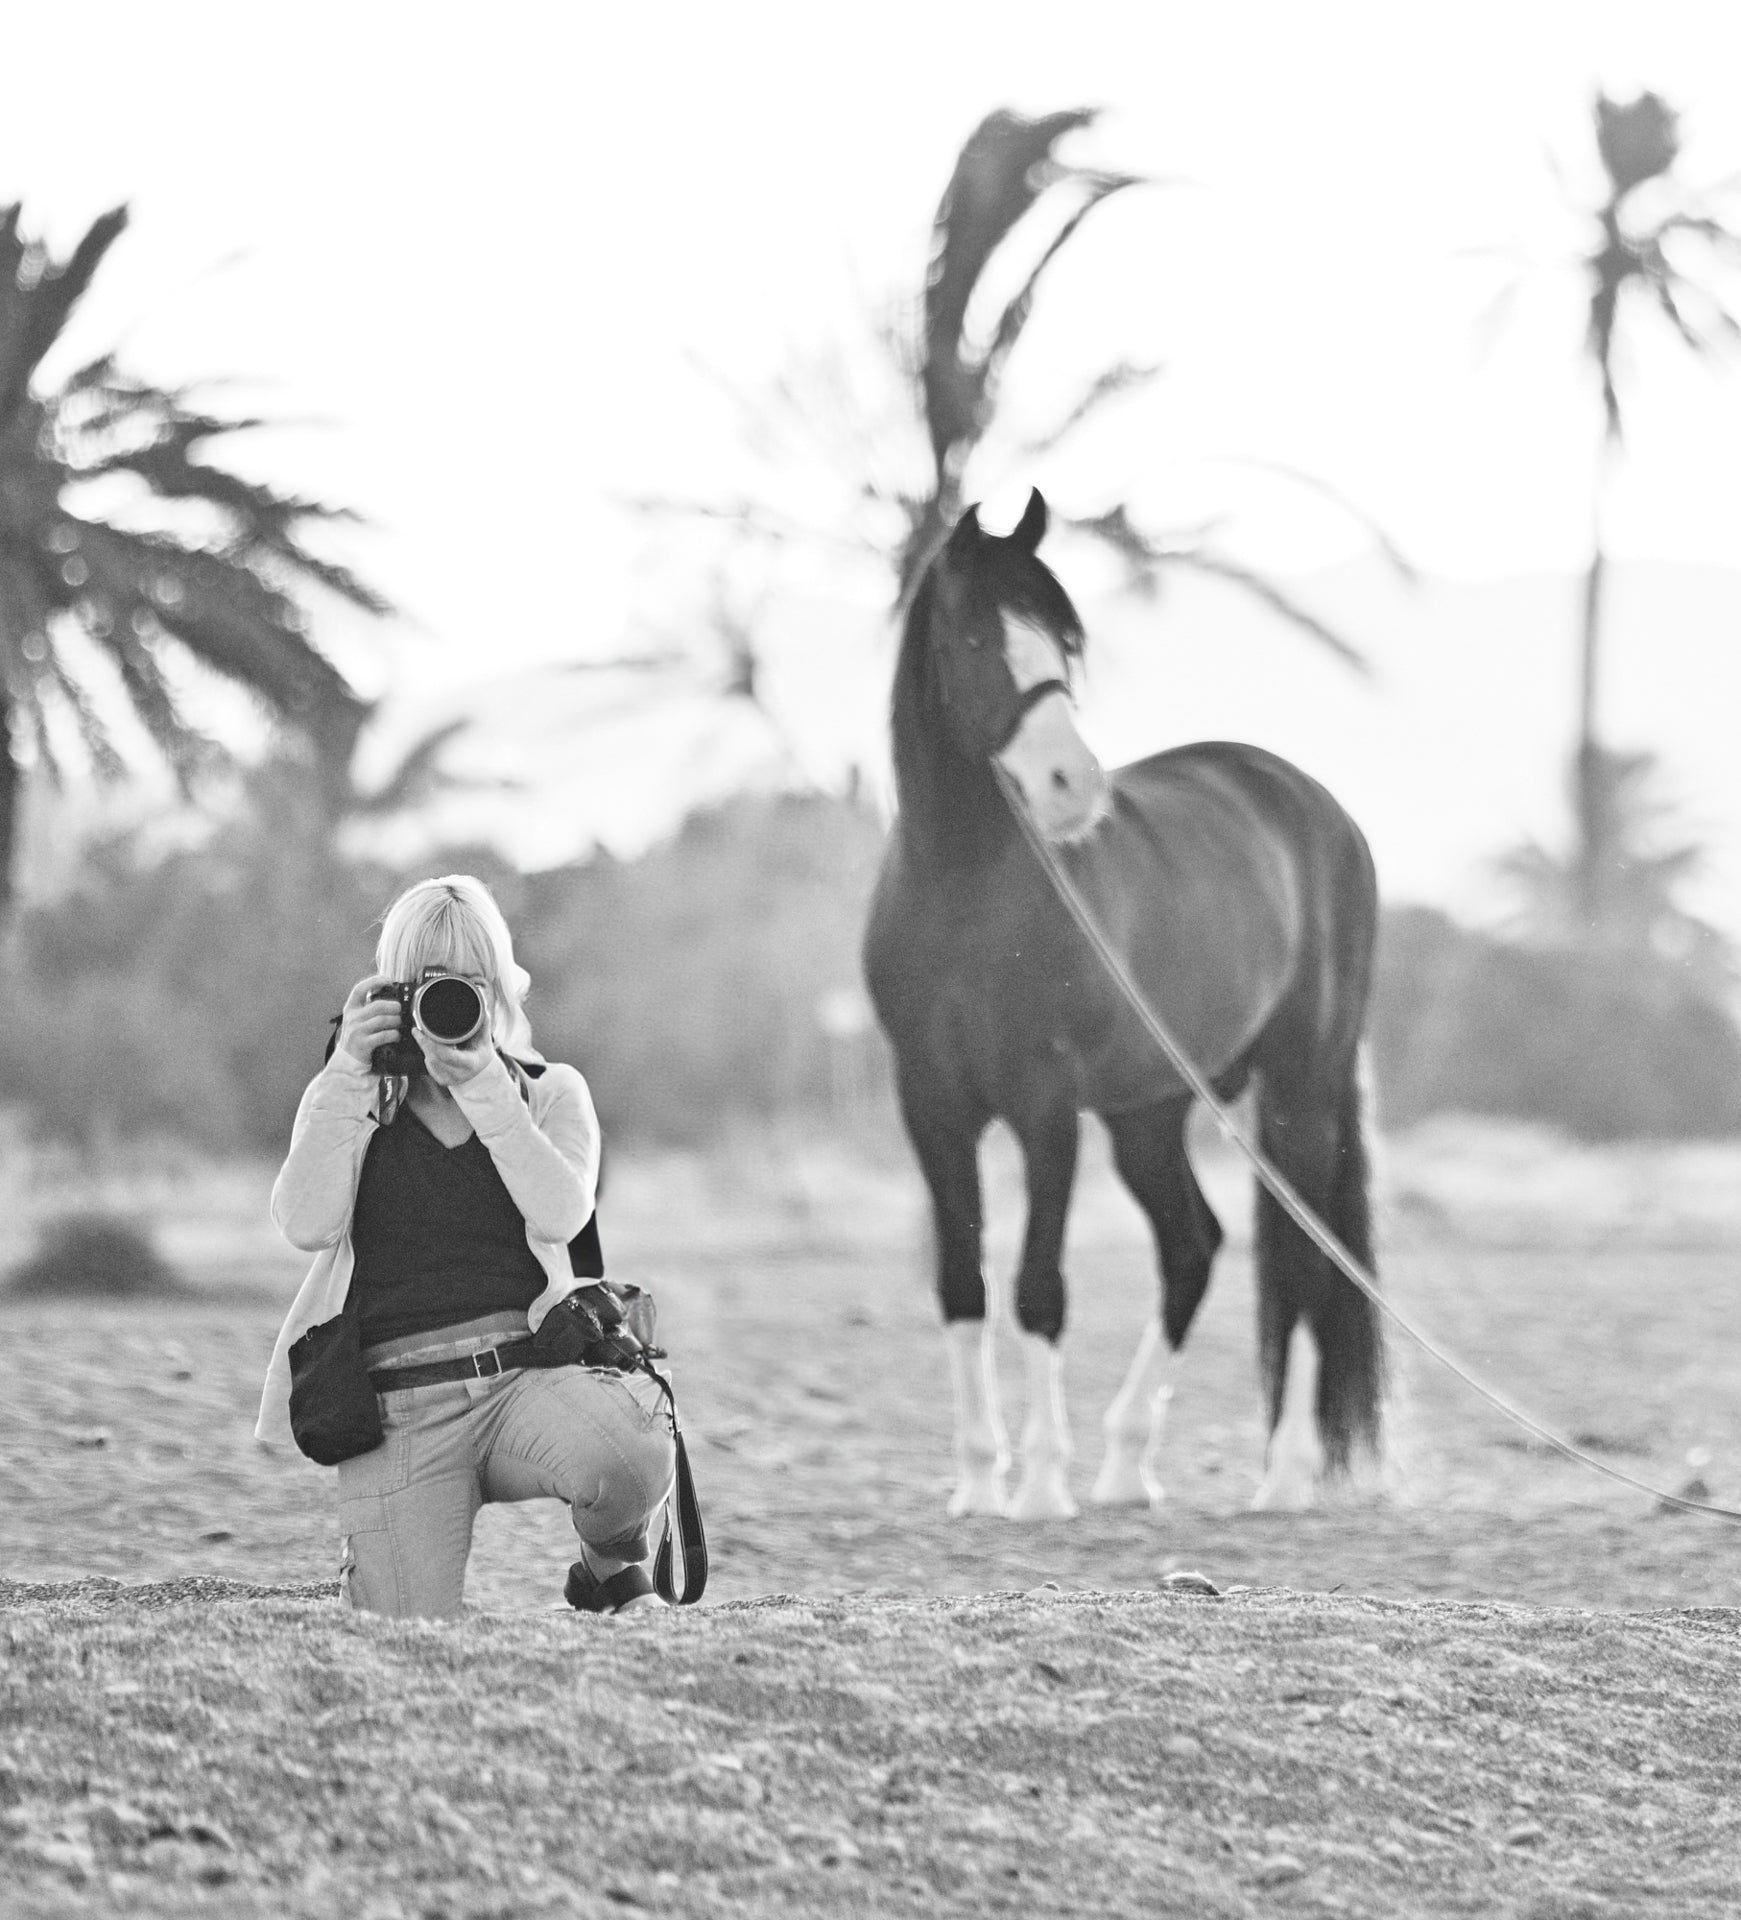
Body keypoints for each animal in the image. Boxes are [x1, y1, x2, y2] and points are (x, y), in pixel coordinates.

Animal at [862, 488, 1384, 1519]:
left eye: (1065, 640)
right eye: (976, 637)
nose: (1074, 786)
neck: (962, 893)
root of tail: (1314, 806)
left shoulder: (1045, 1107)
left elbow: (1038, 1287)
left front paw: (1036, 1490)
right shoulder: (930, 1107)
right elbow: (960, 1283)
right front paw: (977, 1483)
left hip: (1300, 1091)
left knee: (1301, 1267)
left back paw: (1281, 1478)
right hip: (1150, 1112)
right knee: (1193, 1246)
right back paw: (1122, 1465)